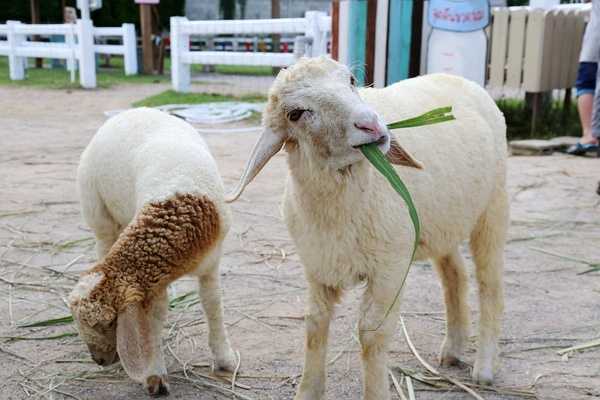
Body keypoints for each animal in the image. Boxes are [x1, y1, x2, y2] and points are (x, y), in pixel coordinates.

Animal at [69, 108, 237, 396]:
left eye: (108, 323)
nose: (98, 360)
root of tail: (128, 112)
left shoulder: (211, 262)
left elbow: (213, 304)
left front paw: (224, 359)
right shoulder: (153, 283)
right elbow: (154, 319)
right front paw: (154, 375)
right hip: (98, 212)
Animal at [227, 57, 508, 400]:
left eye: (351, 80)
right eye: (296, 113)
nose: (371, 125)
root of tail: (458, 79)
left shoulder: (390, 268)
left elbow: (371, 333)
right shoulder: (319, 265)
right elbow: (314, 324)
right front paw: (309, 390)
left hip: (493, 207)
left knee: (490, 285)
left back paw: (485, 367)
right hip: (441, 221)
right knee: (455, 274)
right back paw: (453, 349)